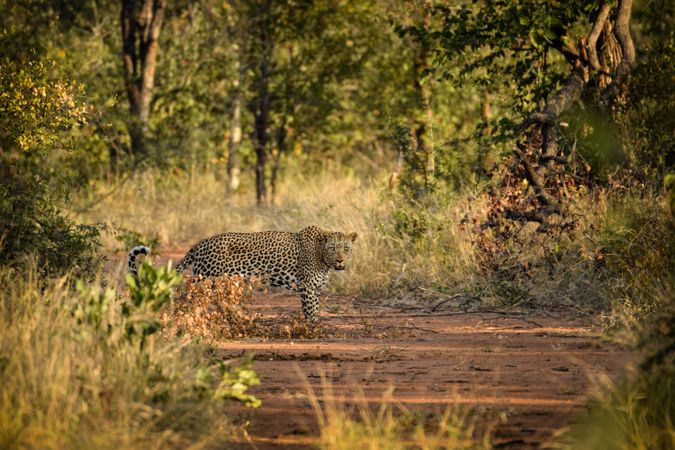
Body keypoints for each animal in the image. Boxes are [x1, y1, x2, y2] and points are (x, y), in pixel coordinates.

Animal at [128, 227, 360, 322]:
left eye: (346, 249)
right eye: (333, 249)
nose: (340, 260)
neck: (322, 258)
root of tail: (200, 243)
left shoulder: (313, 289)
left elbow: (314, 310)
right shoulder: (307, 287)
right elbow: (311, 311)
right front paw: (313, 329)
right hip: (205, 280)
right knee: (188, 300)